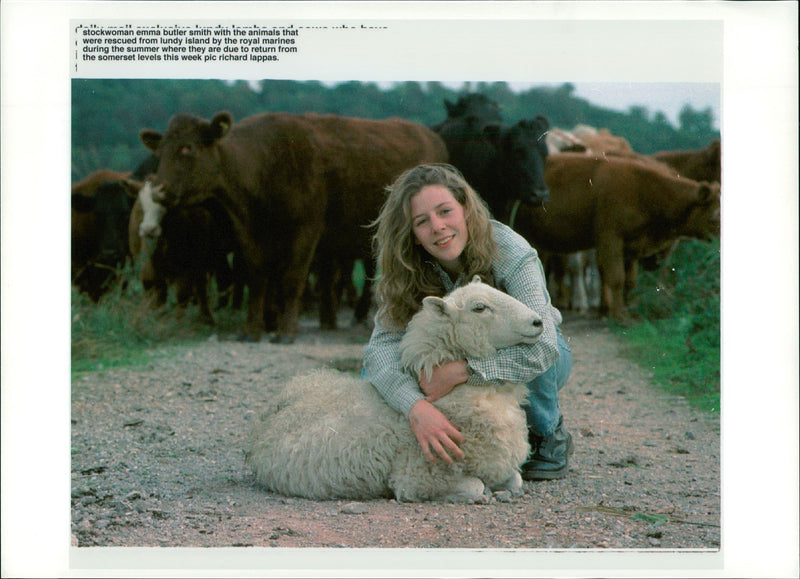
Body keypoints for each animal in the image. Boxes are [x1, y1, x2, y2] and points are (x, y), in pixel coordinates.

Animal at [140, 111, 446, 342]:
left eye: (187, 148)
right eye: (161, 150)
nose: (158, 190)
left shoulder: (306, 229)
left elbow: (291, 279)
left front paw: (286, 331)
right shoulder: (251, 236)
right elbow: (257, 278)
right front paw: (252, 329)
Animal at [244, 276, 544, 502]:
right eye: (479, 308)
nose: (538, 321)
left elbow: (516, 480)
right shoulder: (416, 476)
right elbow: (475, 486)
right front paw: (482, 494)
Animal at [510, 152, 720, 322]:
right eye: (714, 217)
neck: (642, 189)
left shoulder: (631, 247)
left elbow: (629, 281)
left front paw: (626, 310)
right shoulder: (611, 240)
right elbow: (616, 278)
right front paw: (619, 316)